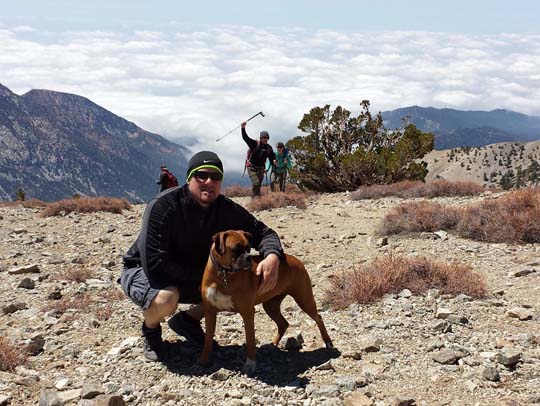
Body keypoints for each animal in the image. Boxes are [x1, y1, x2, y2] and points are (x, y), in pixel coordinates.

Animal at [198, 230, 334, 376]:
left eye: (248, 248)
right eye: (236, 249)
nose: (248, 258)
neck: (223, 275)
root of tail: (296, 259)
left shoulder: (247, 313)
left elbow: (250, 341)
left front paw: (250, 364)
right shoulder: (210, 312)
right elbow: (207, 340)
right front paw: (203, 360)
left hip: (304, 300)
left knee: (318, 318)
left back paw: (328, 342)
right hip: (271, 306)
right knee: (283, 324)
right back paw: (273, 344)